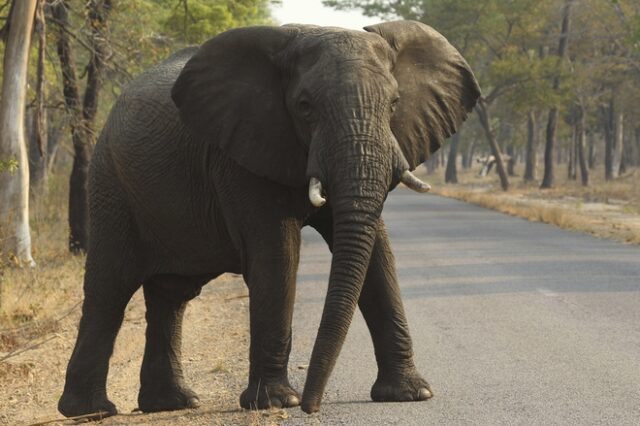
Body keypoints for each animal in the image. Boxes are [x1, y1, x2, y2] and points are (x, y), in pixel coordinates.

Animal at [58, 18, 480, 418]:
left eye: (394, 104)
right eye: (305, 106)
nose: (313, 406)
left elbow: (377, 251)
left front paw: (411, 394)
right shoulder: (240, 153)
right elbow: (277, 253)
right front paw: (278, 402)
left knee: (171, 295)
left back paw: (172, 404)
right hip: (111, 183)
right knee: (110, 287)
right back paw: (91, 411)